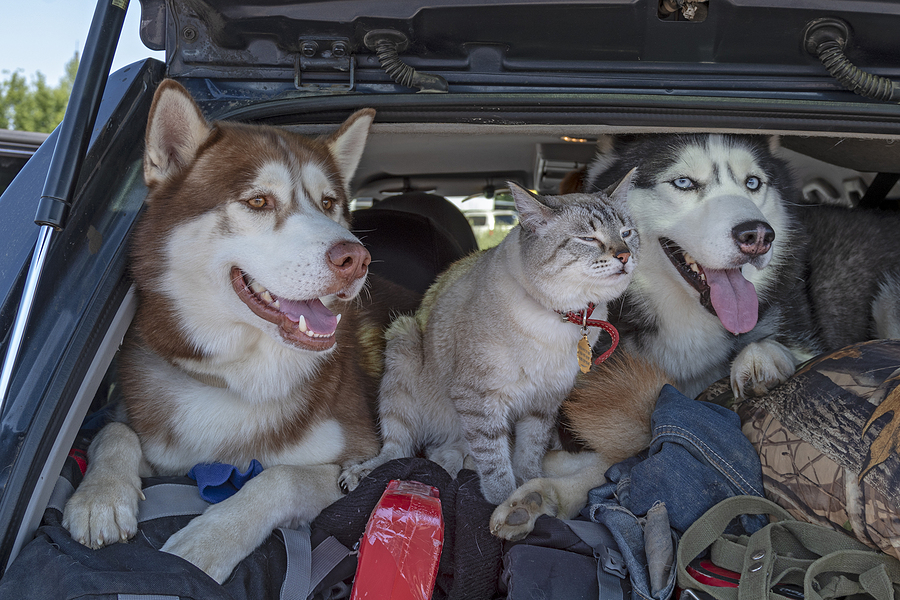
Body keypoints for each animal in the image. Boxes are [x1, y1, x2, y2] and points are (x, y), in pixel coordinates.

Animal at [63, 79, 418, 580]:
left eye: (328, 203)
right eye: (258, 201)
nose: (356, 258)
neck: (235, 375)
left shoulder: (349, 452)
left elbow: (280, 477)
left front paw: (206, 542)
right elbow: (113, 431)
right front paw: (100, 498)